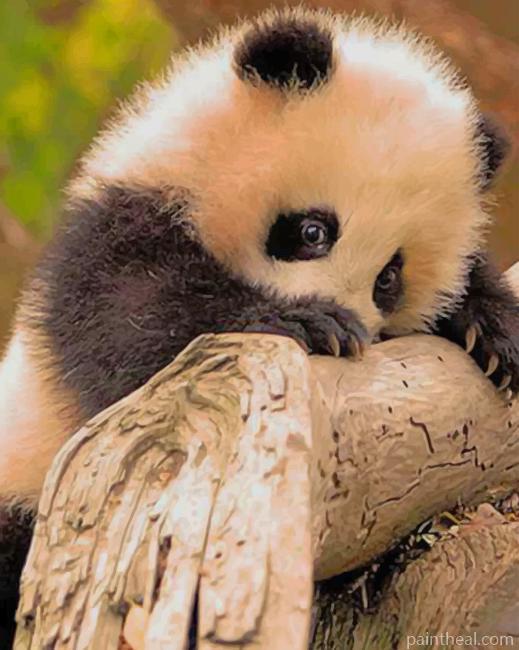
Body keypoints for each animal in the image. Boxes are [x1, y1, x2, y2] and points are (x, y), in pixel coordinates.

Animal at [0, 6, 518, 632]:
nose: (353, 322)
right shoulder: (110, 240)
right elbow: (140, 327)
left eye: (389, 278)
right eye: (313, 230)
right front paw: (308, 323)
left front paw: (492, 332)